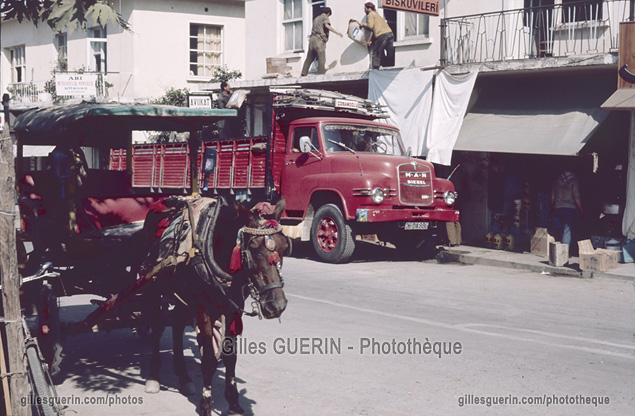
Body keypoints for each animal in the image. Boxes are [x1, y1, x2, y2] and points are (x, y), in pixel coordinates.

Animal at [140, 196, 290, 416]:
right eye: (253, 246)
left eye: (284, 246)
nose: (277, 305)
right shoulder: (203, 307)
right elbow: (210, 359)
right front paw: (206, 403)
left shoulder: (233, 307)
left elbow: (230, 356)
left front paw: (234, 403)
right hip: (153, 286)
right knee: (158, 325)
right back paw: (153, 376)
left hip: (183, 297)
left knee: (177, 323)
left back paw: (183, 377)